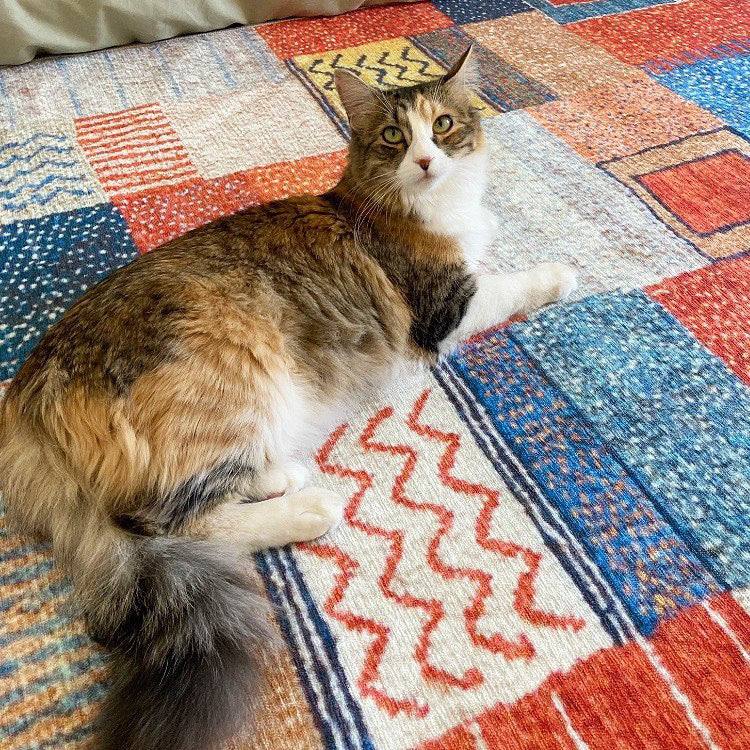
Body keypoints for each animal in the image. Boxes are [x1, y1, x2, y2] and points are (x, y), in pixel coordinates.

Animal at [0, 47, 580, 750]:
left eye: (441, 125)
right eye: (395, 136)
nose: (424, 160)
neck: (418, 204)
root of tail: (27, 391)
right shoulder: (444, 308)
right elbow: (512, 282)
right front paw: (562, 275)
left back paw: (280, 474)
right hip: (231, 379)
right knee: (167, 521)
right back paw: (307, 508)